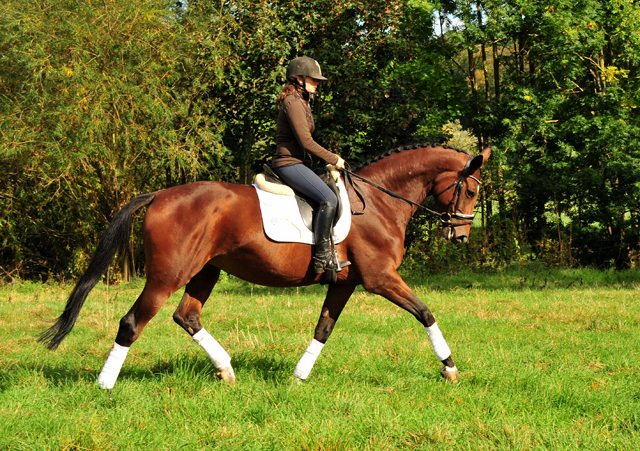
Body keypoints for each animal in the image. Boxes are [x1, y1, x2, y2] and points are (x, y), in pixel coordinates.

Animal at [38, 144, 490, 388]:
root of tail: (161, 195)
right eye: (469, 190)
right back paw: (105, 385)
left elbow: (323, 328)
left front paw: (298, 376)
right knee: (133, 321)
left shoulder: (345, 283)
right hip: (168, 275)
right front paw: (450, 368)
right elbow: (426, 312)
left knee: (187, 316)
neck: (378, 203)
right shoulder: (381, 279)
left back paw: (226, 370)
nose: (461, 236)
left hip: (206, 271)